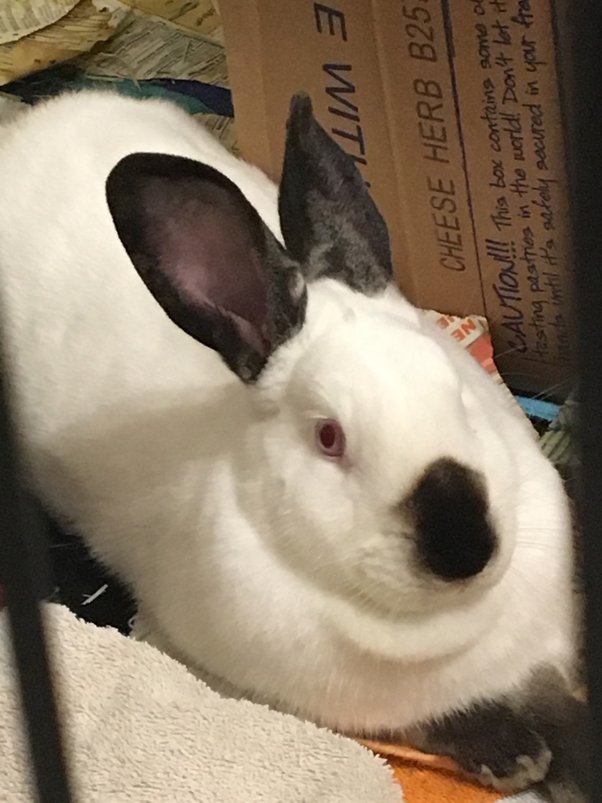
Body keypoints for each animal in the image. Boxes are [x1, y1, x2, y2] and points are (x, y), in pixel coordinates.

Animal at [0, 89, 588, 800]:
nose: (465, 548)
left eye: (460, 395)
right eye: (329, 437)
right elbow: (433, 720)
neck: (440, 629)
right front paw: (513, 755)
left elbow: (559, 706)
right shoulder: (315, 699)